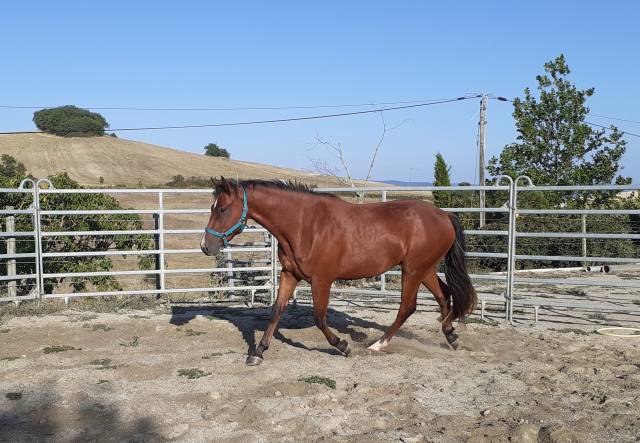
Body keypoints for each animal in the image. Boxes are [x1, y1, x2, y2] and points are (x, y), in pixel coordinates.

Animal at [202, 179, 478, 366]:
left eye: (223, 209)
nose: (206, 246)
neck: (304, 225)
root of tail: (444, 215)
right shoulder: (290, 275)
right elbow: (276, 311)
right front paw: (257, 353)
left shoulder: (321, 280)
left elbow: (319, 318)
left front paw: (343, 346)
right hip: (424, 268)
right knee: (443, 295)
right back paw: (451, 337)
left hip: (412, 270)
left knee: (407, 307)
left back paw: (377, 345)